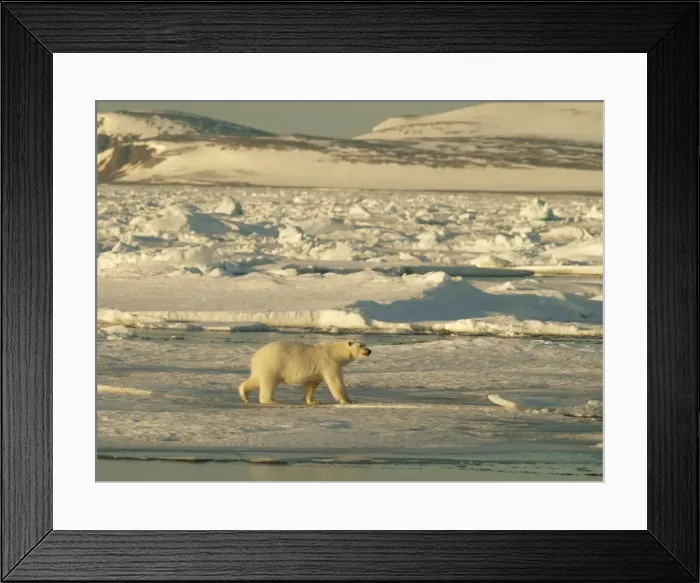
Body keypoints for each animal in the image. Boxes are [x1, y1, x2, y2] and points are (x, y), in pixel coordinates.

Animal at [238, 340, 371, 405]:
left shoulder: (318, 371)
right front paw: (348, 400)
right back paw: (272, 401)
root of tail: (255, 356)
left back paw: (244, 395)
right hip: (273, 364)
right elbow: (335, 382)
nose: (369, 351)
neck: (336, 352)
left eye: (365, 344)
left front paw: (313, 401)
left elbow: (311, 384)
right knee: (268, 383)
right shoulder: (329, 363)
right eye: (361, 345)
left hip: (262, 367)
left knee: (255, 381)